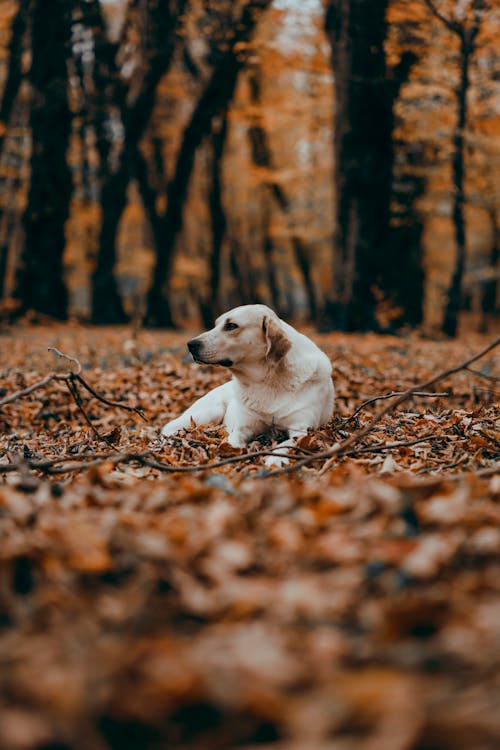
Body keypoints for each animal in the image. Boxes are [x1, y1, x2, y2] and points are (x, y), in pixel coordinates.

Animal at [162, 304, 334, 468]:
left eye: (231, 326)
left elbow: (287, 443)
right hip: (211, 411)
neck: (267, 380)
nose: (190, 345)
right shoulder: (242, 427)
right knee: (168, 428)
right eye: (216, 324)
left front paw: (276, 458)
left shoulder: (302, 429)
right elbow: (232, 441)